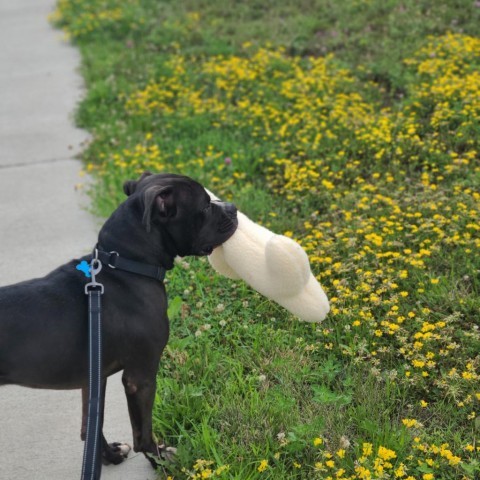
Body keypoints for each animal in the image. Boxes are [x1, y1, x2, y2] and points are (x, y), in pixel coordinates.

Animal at [0, 172, 237, 468]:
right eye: (204, 207)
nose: (233, 208)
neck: (125, 264)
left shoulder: (94, 375)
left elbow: (90, 426)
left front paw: (108, 456)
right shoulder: (140, 376)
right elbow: (142, 432)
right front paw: (160, 458)